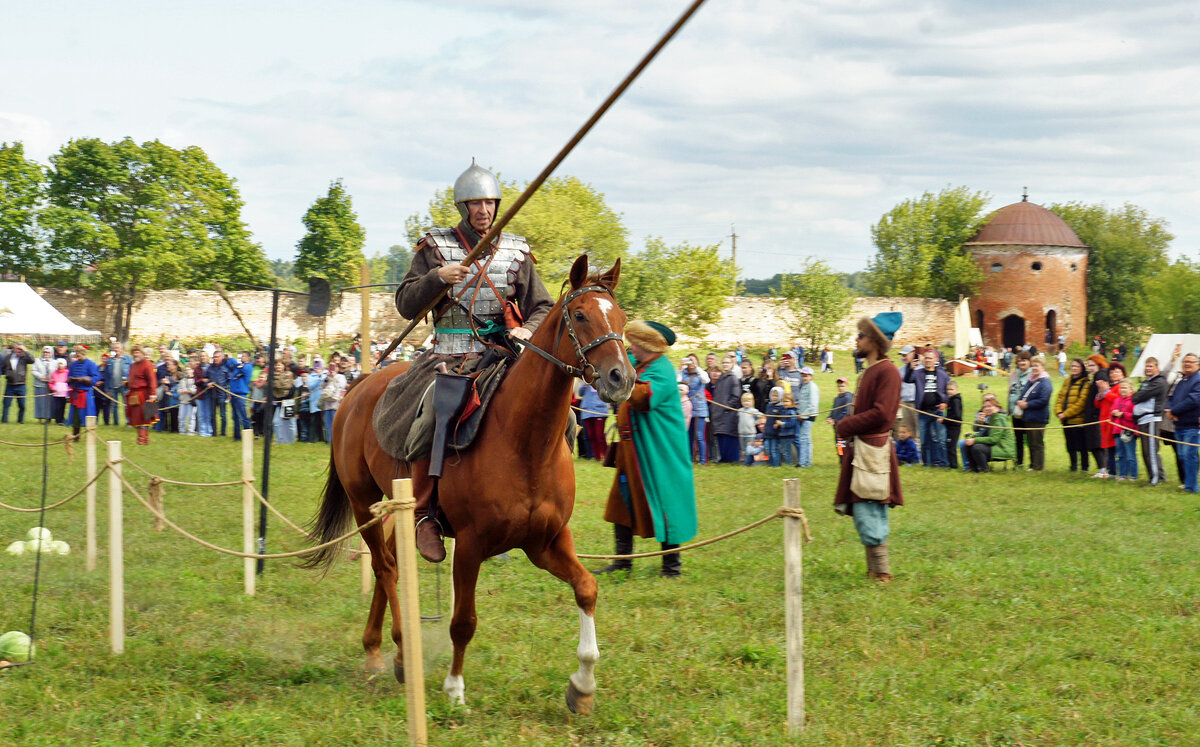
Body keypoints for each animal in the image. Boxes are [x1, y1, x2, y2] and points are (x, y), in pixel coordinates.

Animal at [304, 253, 633, 715]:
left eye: (620, 317)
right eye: (582, 315)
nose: (621, 378)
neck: (524, 441)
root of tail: (359, 385)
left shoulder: (545, 542)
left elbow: (586, 589)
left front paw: (582, 685)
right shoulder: (471, 545)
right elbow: (463, 621)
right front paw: (455, 689)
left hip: (394, 505)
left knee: (386, 560)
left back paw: (377, 650)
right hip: (361, 497)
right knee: (385, 568)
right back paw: (400, 651)